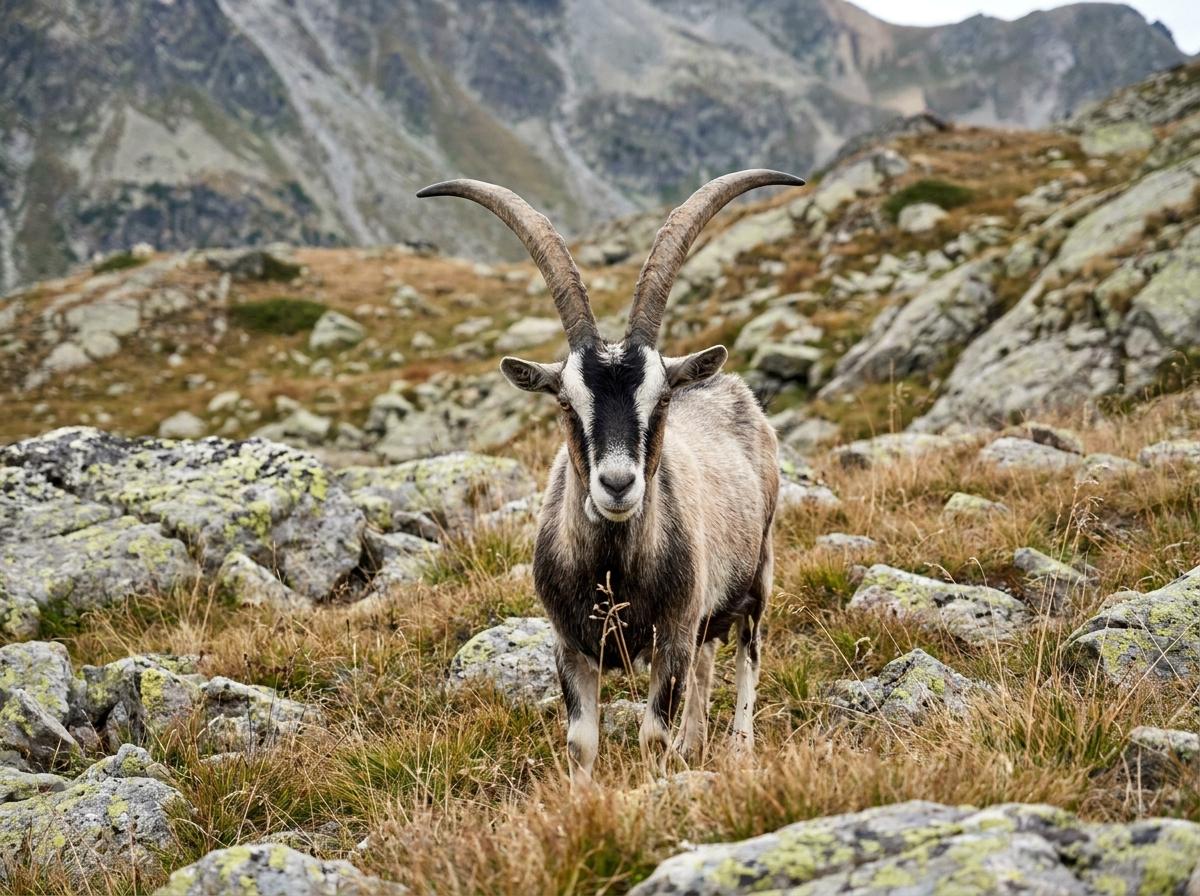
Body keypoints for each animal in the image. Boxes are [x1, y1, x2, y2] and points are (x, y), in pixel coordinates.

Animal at [417, 170, 804, 779]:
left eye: (661, 397)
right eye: (565, 401)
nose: (618, 485)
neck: (613, 568)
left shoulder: (670, 638)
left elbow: (652, 736)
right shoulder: (570, 644)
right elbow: (582, 743)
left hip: (760, 569)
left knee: (749, 650)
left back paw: (738, 748)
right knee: (708, 658)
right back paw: (695, 743)